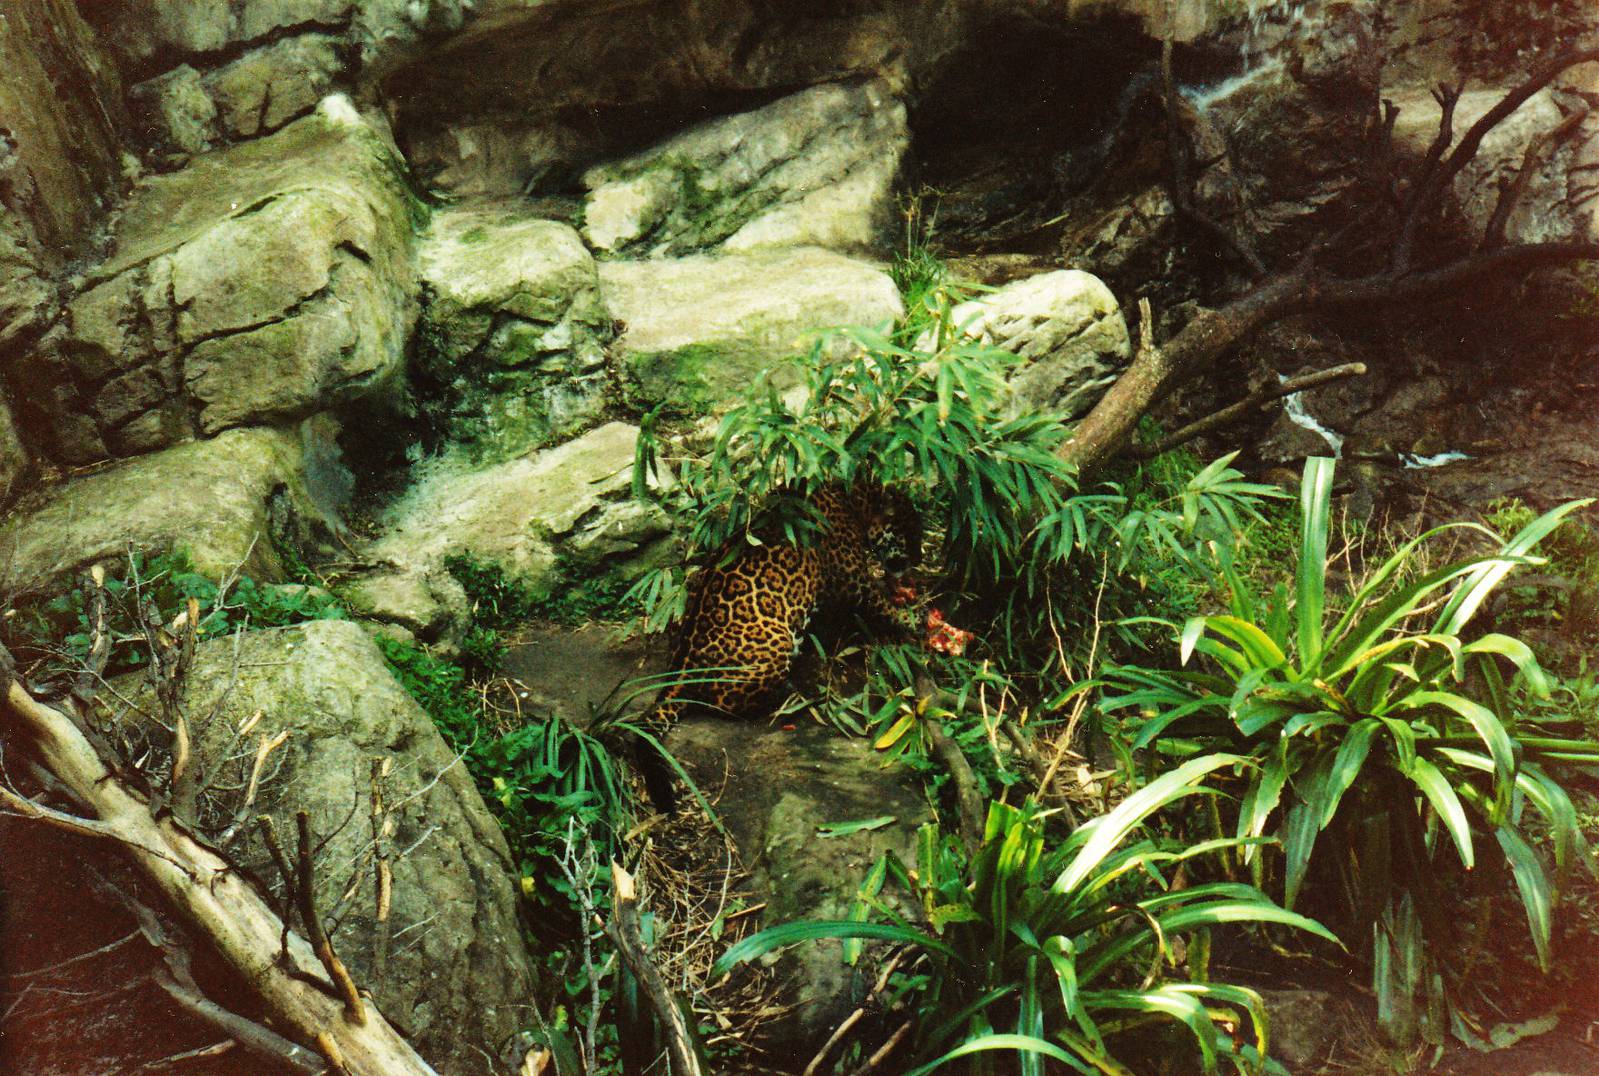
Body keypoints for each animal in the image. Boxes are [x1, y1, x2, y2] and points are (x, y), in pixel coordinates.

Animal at [629, 480, 923, 811]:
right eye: (910, 530)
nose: (919, 559)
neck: (853, 499)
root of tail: (681, 669)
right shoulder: (853, 580)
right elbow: (880, 604)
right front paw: (913, 618)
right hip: (776, 643)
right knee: (728, 706)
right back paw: (789, 694)